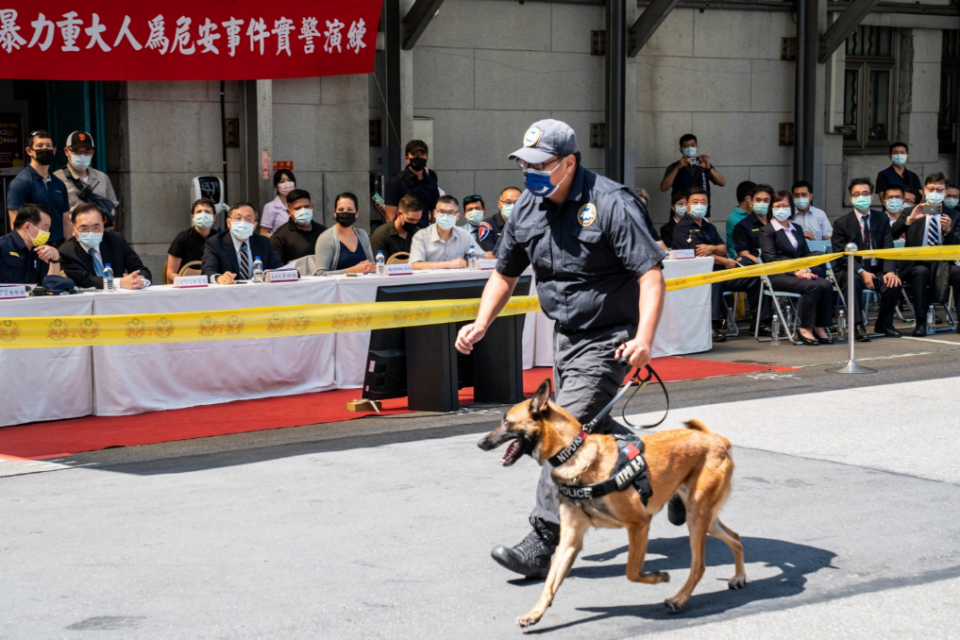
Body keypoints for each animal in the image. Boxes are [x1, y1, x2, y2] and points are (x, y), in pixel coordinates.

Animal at [476, 378, 748, 628]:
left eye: (506, 420)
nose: (480, 443)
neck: (576, 454)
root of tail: (717, 440)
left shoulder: (639, 524)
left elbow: (631, 571)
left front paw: (657, 577)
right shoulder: (570, 540)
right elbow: (550, 582)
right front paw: (535, 613)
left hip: (697, 517)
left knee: (699, 565)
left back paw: (679, 599)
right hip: (702, 518)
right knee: (735, 537)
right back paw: (739, 577)